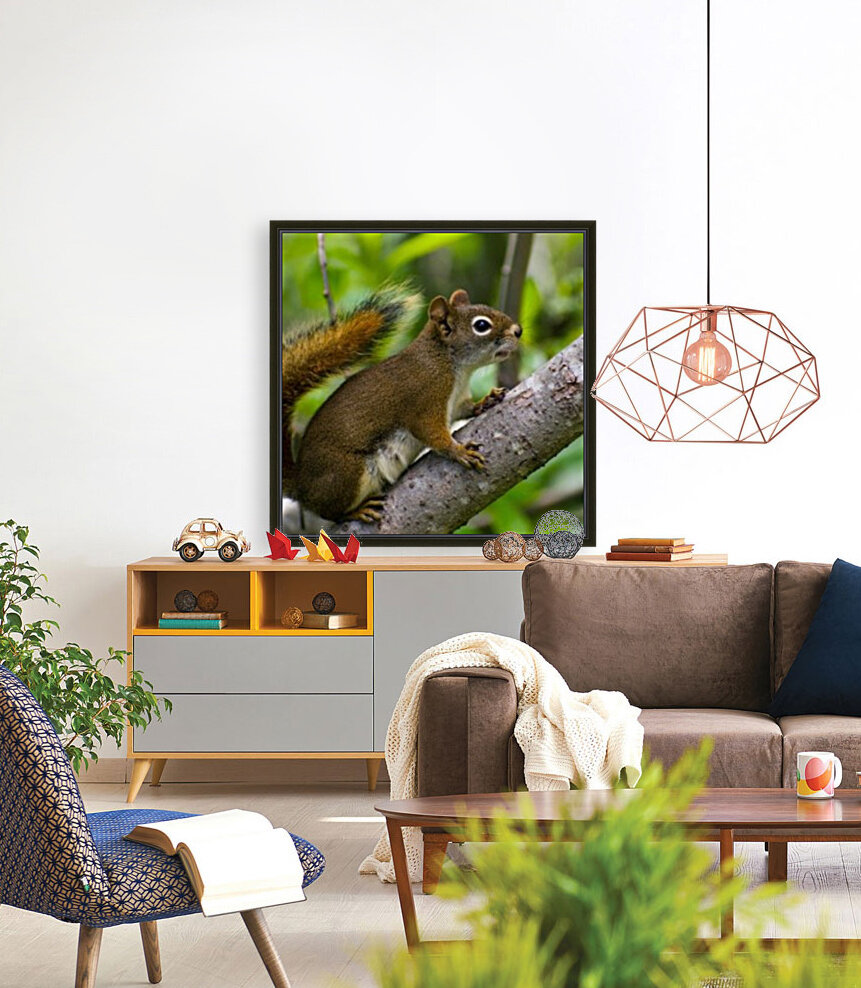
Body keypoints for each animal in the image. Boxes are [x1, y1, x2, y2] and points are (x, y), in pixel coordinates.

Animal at [282, 287, 522, 523]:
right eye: (481, 325)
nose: (518, 330)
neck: (451, 364)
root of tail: (300, 485)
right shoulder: (426, 399)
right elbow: (431, 433)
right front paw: (460, 451)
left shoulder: (456, 401)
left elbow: (466, 408)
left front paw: (487, 400)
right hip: (346, 474)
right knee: (331, 512)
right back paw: (358, 511)